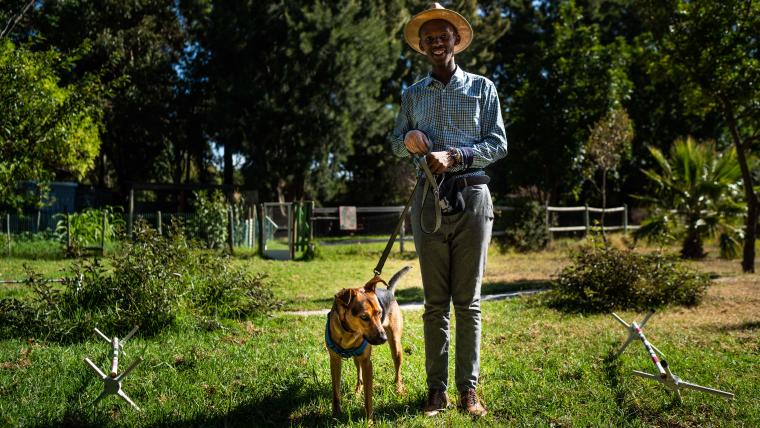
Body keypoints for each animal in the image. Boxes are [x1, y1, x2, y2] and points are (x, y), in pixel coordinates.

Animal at [326, 266, 412, 420]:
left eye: (379, 312)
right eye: (364, 317)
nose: (383, 338)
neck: (349, 332)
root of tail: (388, 291)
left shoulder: (367, 363)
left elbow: (368, 398)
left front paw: (369, 420)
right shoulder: (334, 360)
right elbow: (336, 392)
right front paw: (335, 414)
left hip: (395, 345)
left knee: (398, 370)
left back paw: (399, 389)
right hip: (357, 357)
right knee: (359, 374)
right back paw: (357, 391)